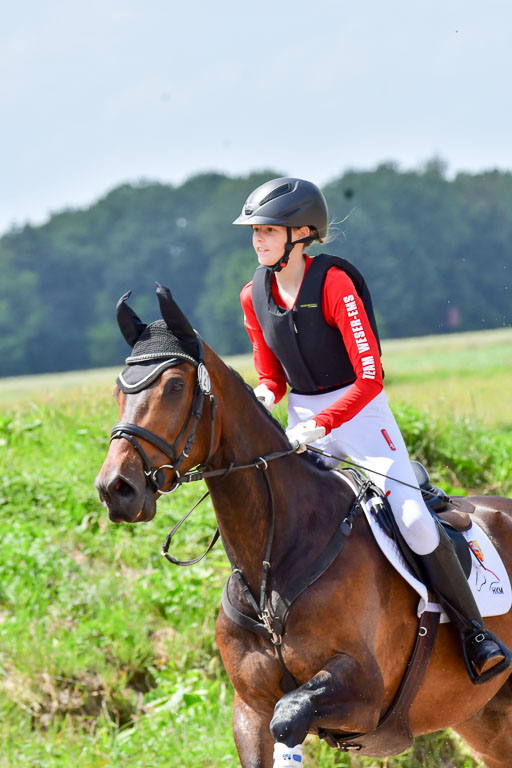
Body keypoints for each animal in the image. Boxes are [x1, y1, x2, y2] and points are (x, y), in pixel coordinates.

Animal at [96, 284, 512, 768]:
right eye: (118, 390)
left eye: (176, 386)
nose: (115, 488)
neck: (273, 559)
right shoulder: (250, 708)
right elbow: (272, 725)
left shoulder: (365, 692)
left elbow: (289, 718)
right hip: (485, 719)